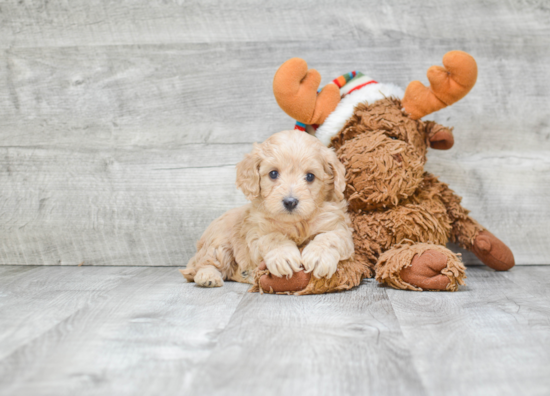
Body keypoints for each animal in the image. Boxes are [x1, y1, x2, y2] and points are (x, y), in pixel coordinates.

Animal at [181, 130, 354, 288]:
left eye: (310, 176)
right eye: (273, 174)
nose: (290, 202)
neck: (296, 223)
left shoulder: (340, 228)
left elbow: (329, 237)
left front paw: (319, 256)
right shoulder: (256, 234)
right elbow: (273, 237)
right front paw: (283, 256)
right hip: (218, 245)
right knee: (203, 265)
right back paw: (208, 277)